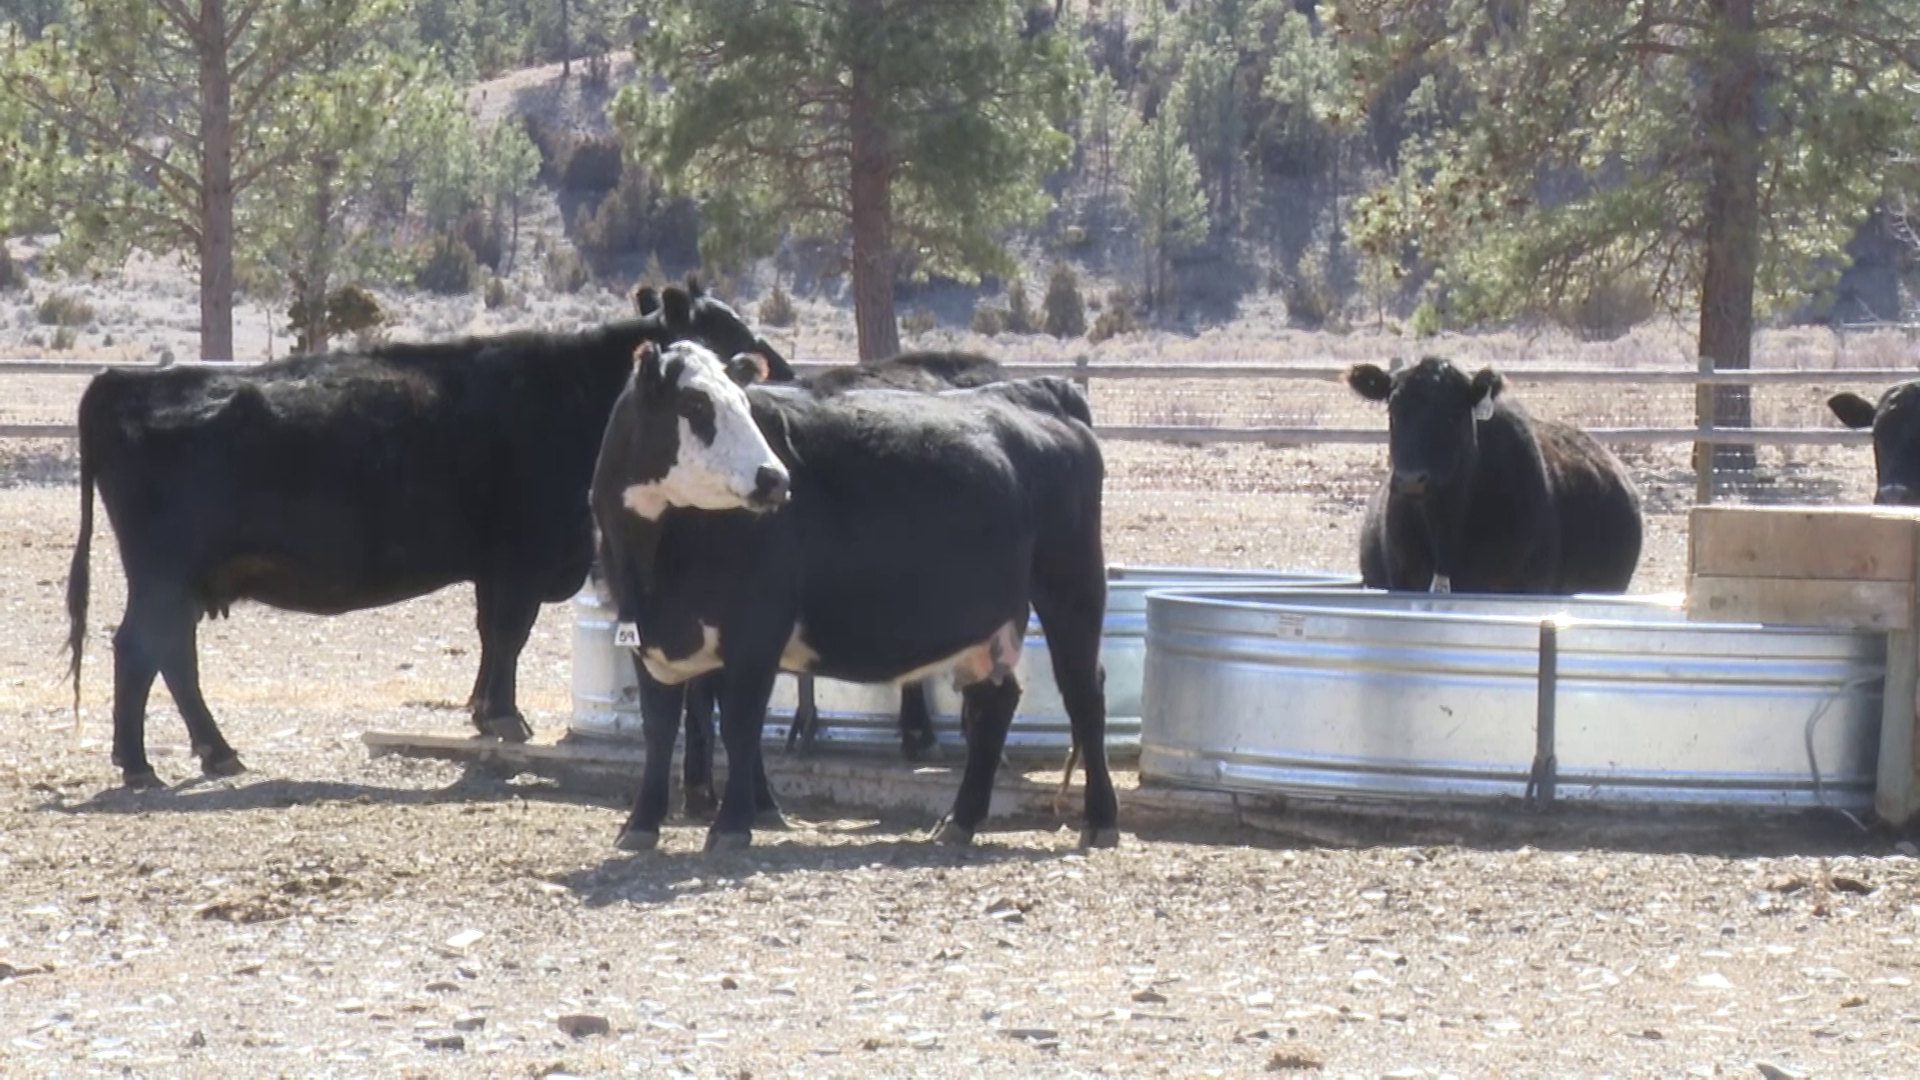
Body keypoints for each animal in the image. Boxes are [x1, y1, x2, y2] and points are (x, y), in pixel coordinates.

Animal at [69, 276, 779, 787]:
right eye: (728, 333)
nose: (778, 371)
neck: (573, 394)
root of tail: (123, 381)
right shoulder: (521, 560)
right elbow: (509, 637)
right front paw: (504, 717)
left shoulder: (498, 568)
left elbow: (493, 639)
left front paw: (484, 712)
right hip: (164, 577)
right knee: (141, 649)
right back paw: (146, 764)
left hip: (183, 583)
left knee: (169, 655)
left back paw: (206, 753)